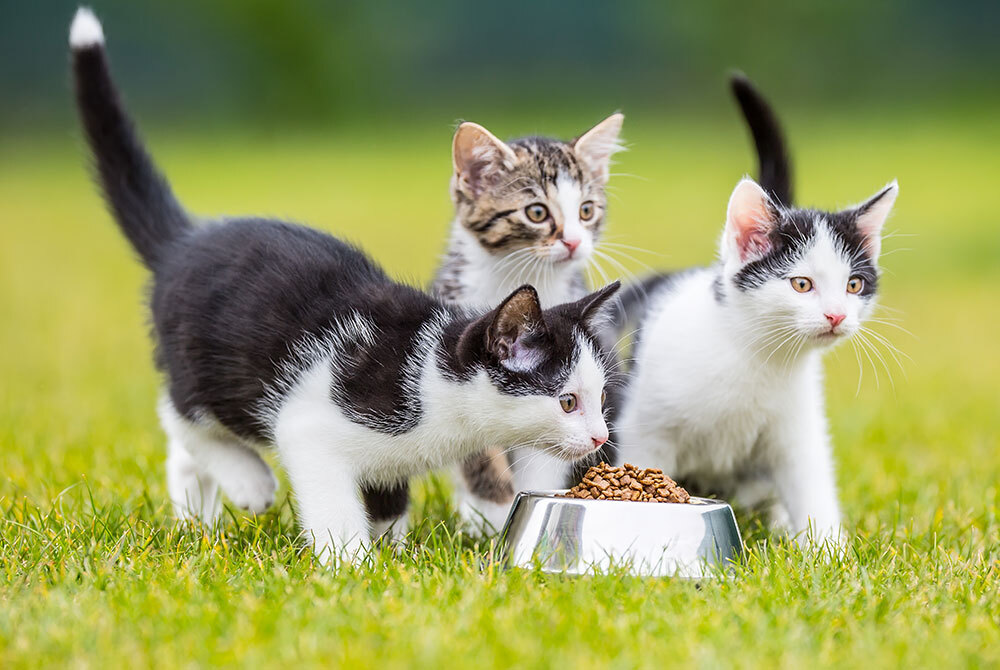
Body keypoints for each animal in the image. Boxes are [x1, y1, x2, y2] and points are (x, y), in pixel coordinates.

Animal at [70, 9, 616, 568]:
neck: (434, 374)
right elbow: (332, 499)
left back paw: (196, 520)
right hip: (204, 362)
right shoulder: (312, 423)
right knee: (180, 415)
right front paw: (349, 564)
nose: (601, 436)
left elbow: (386, 494)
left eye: (600, 396)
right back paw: (247, 482)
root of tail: (185, 239)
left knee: (183, 449)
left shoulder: (390, 456)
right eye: (567, 402)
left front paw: (393, 548)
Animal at [608, 79, 900, 548]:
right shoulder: (643, 431)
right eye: (801, 284)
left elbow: (812, 486)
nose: (837, 316)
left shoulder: (798, 433)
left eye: (854, 285)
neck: (756, 356)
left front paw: (828, 551)